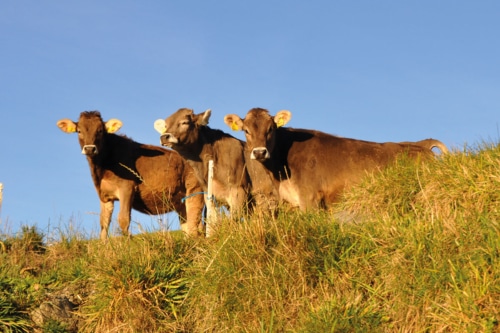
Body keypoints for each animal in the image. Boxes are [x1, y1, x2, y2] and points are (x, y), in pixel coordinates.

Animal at [54, 111, 203, 239]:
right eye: (79, 131)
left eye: (100, 131)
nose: (90, 149)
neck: (102, 168)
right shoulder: (104, 196)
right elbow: (104, 224)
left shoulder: (127, 188)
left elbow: (123, 219)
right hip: (181, 202)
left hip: (195, 190)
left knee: (195, 223)